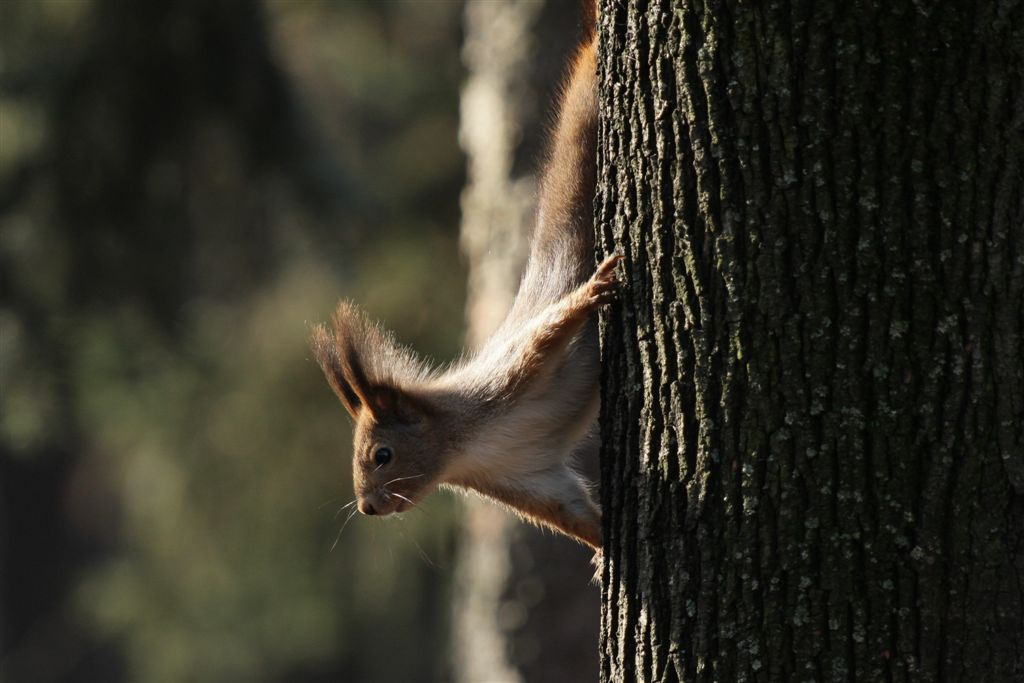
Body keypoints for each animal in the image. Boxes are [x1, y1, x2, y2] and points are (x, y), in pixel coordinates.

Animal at [309, 3, 614, 548]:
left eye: (382, 455)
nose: (367, 507)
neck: (464, 448)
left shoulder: (507, 379)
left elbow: (547, 334)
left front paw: (592, 291)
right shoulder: (522, 476)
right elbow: (572, 513)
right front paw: (606, 552)